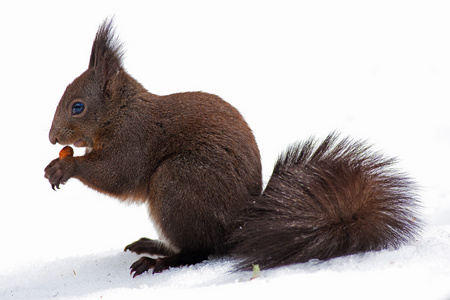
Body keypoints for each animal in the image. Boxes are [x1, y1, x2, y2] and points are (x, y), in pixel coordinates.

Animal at [44, 19, 420, 276]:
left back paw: (159, 260)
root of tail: (238, 228)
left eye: (77, 107)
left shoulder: (133, 140)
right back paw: (153, 245)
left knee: (200, 251)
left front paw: (64, 167)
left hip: (176, 183)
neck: (120, 112)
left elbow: (117, 174)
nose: (52, 138)